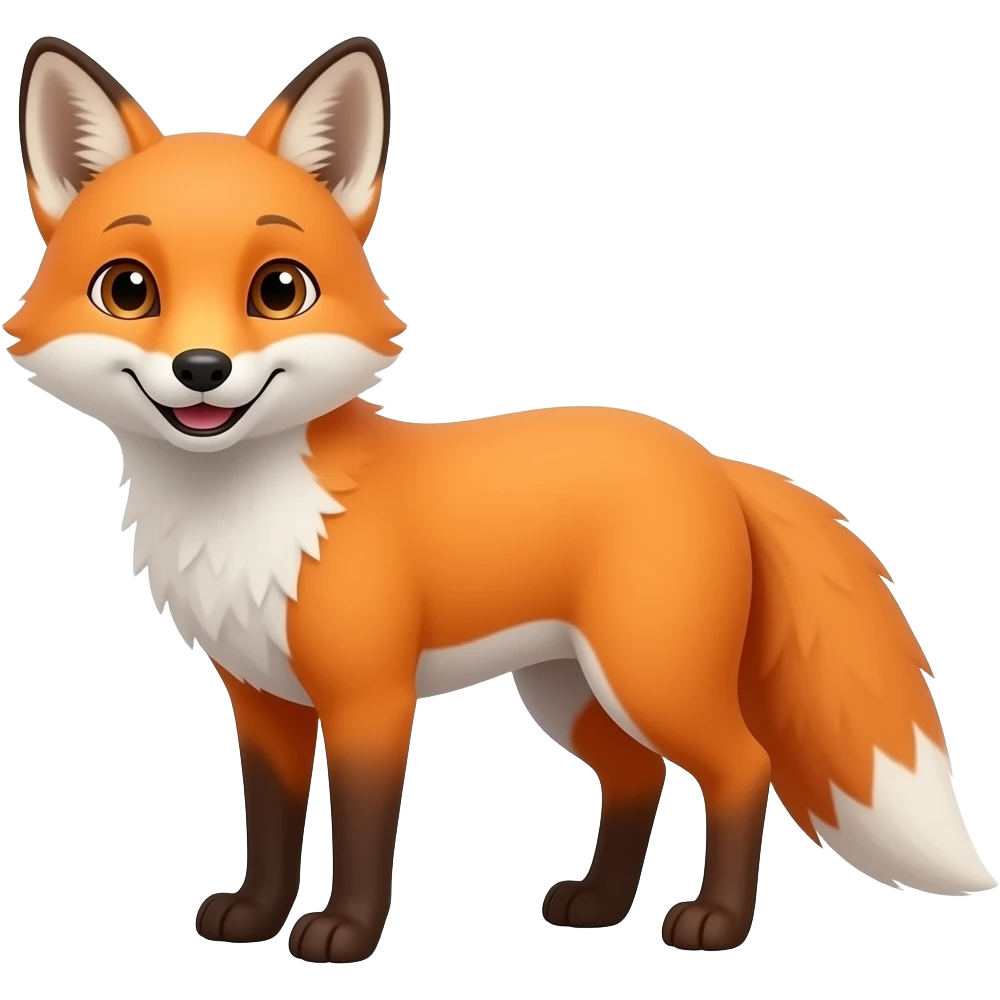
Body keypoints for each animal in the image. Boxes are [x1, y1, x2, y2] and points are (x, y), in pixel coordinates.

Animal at [5, 33, 995, 965]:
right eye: (129, 289)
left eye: (279, 289)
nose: (202, 368)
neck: (246, 517)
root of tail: (711, 458)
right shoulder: (262, 698)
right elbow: (273, 823)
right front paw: (254, 916)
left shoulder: (370, 696)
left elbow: (363, 829)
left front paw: (345, 933)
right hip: (567, 691)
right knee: (637, 777)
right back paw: (598, 906)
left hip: (649, 676)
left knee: (740, 766)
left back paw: (714, 920)